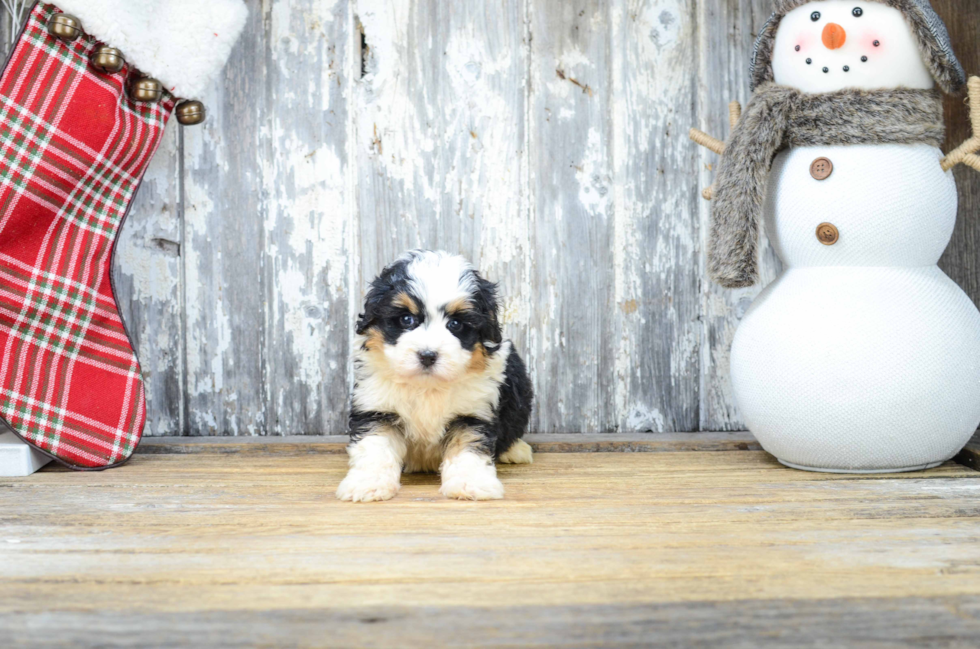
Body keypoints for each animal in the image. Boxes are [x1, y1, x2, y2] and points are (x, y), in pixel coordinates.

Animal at [338, 249, 536, 502]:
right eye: (406, 319)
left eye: (456, 324)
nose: (427, 355)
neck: (427, 386)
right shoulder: (377, 408)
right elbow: (374, 448)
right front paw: (367, 484)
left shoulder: (473, 412)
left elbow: (468, 448)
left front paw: (471, 484)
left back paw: (517, 450)